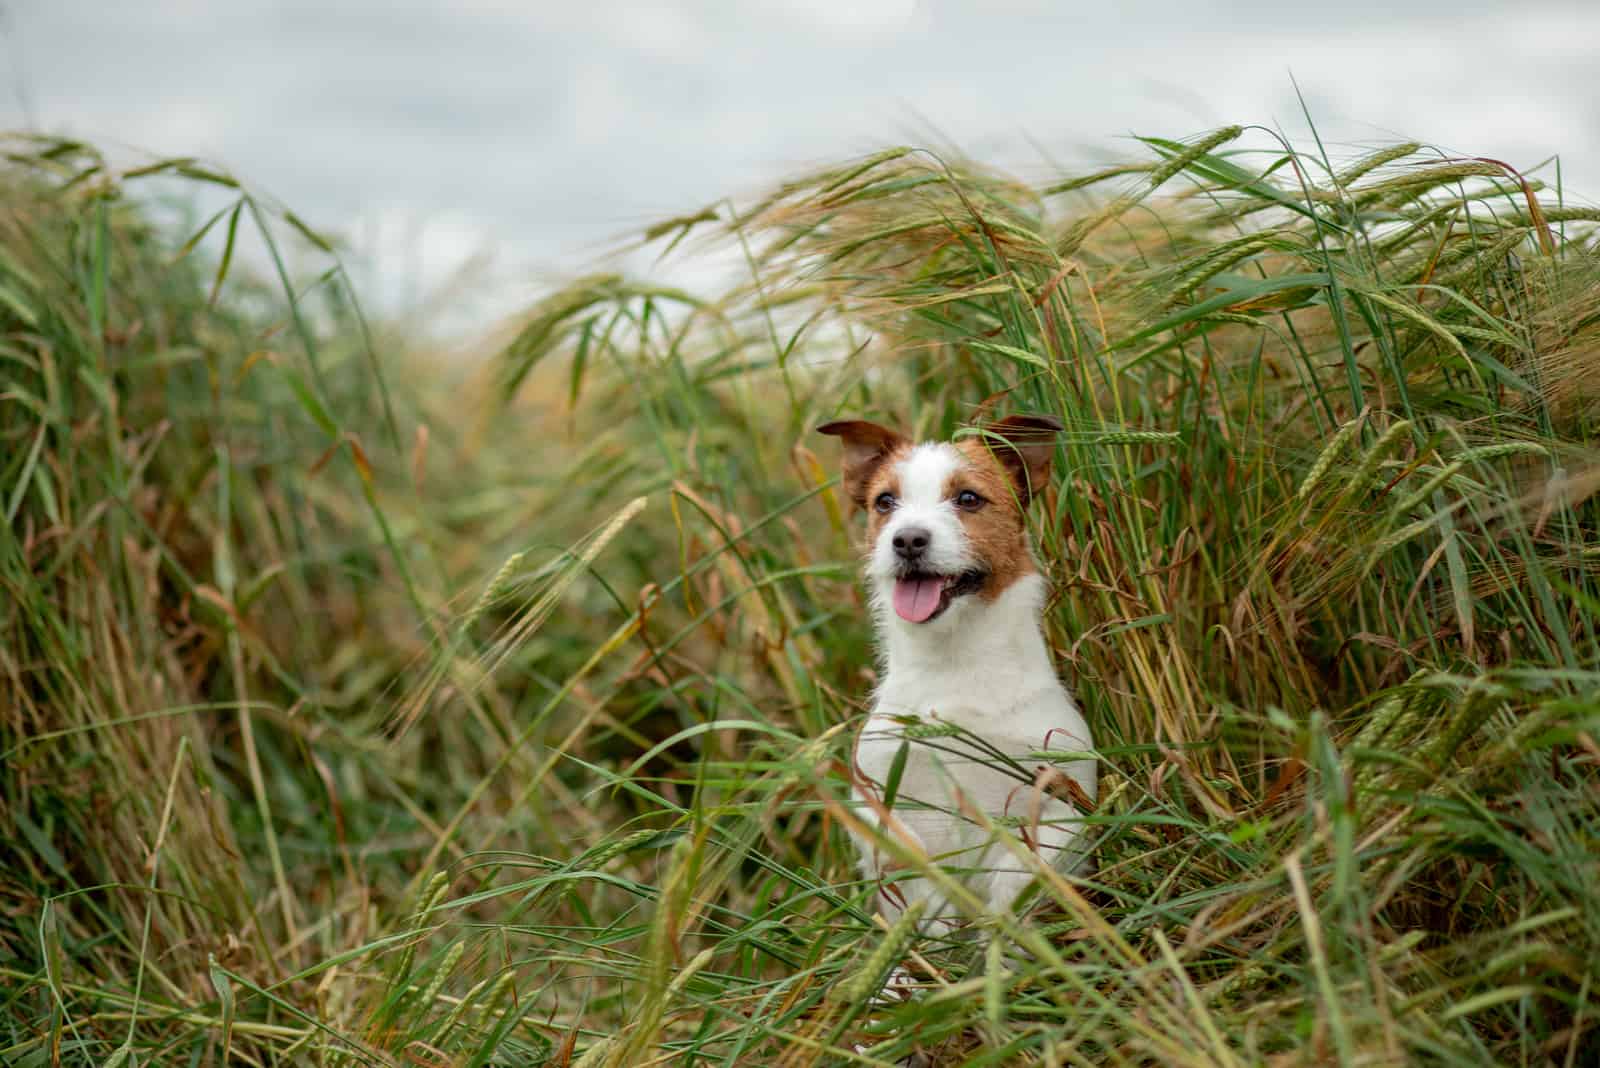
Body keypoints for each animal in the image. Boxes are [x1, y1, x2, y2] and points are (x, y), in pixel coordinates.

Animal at [819, 415, 1094, 927]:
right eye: (884, 502)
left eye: (968, 498)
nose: (907, 539)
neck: (953, 663)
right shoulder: (882, 809)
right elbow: (919, 891)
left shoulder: (1065, 801)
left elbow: (1018, 875)